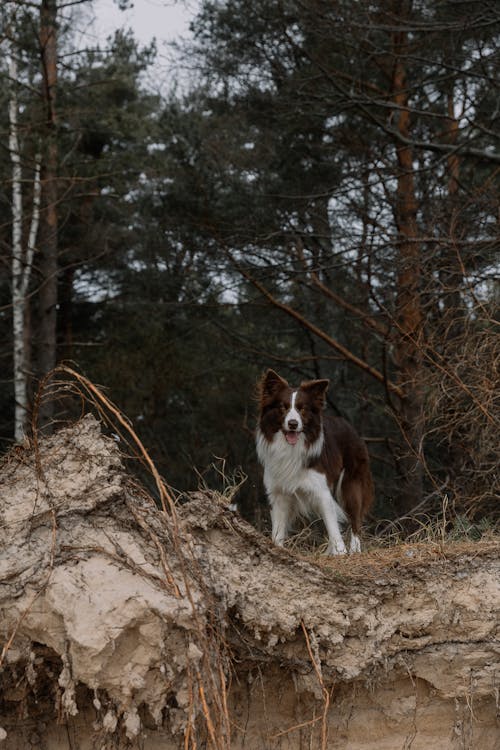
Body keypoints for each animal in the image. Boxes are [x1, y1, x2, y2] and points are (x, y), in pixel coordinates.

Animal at [256, 372, 374, 556]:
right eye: (283, 407)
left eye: (302, 408)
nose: (293, 424)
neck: (291, 448)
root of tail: (349, 426)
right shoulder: (279, 492)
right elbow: (278, 529)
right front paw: (277, 548)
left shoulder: (321, 491)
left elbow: (332, 526)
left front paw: (341, 553)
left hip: (350, 483)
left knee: (355, 518)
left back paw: (355, 550)